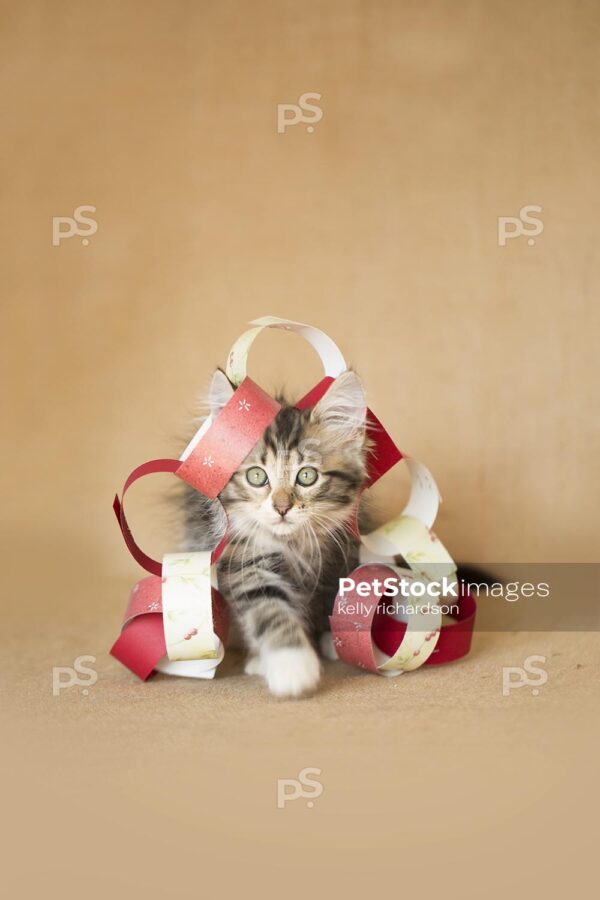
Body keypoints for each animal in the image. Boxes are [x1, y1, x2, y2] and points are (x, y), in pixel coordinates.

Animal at [180, 370, 368, 700]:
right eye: (257, 476)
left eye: (307, 476)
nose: (282, 508)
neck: (292, 544)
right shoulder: (243, 561)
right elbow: (269, 609)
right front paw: (291, 666)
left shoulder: (340, 550)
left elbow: (333, 592)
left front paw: (332, 636)